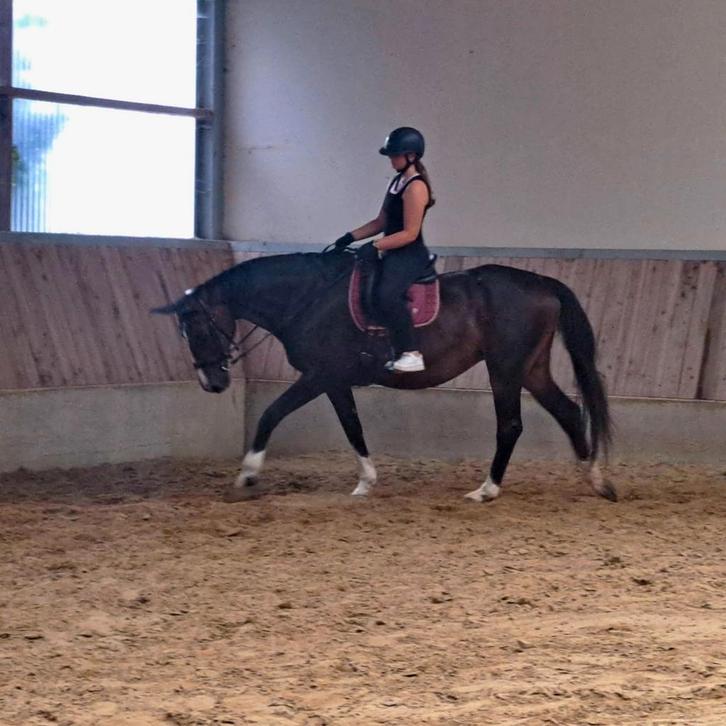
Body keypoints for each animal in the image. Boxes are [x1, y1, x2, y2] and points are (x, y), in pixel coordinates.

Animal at [152, 250, 615, 503]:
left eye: (198, 329)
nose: (213, 383)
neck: (308, 298)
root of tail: (543, 283)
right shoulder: (335, 381)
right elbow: (352, 427)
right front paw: (366, 483)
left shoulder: (319, 375)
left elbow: (270, 415)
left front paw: (246, 476)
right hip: (530, 368)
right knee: (568, 412)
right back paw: (596, 480)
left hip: (504, 368)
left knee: (511, 425)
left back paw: (487, 490)